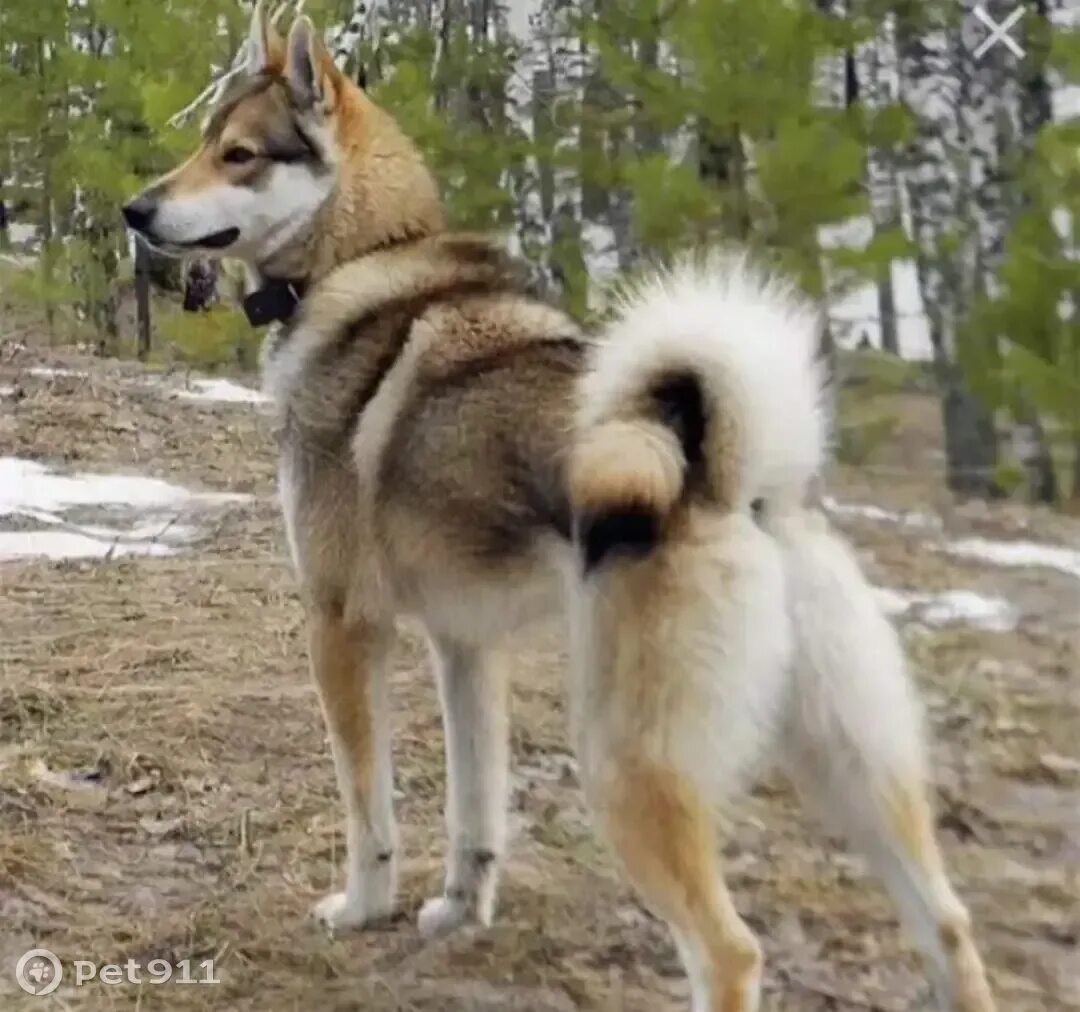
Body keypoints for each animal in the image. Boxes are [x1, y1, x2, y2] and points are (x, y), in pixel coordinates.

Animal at [122, 5, 997, 1002]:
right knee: (951, 925)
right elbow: (475, 813)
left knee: (731, 952)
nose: (134, 211)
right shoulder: (466, 646)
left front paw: (360, 911)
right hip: (849, 766)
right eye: (203, 142)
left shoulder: (344, 626)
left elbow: (369, 808)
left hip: (626, 765)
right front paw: (458, 913)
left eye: (238, 155)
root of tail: (740, 477)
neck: (365, 261)